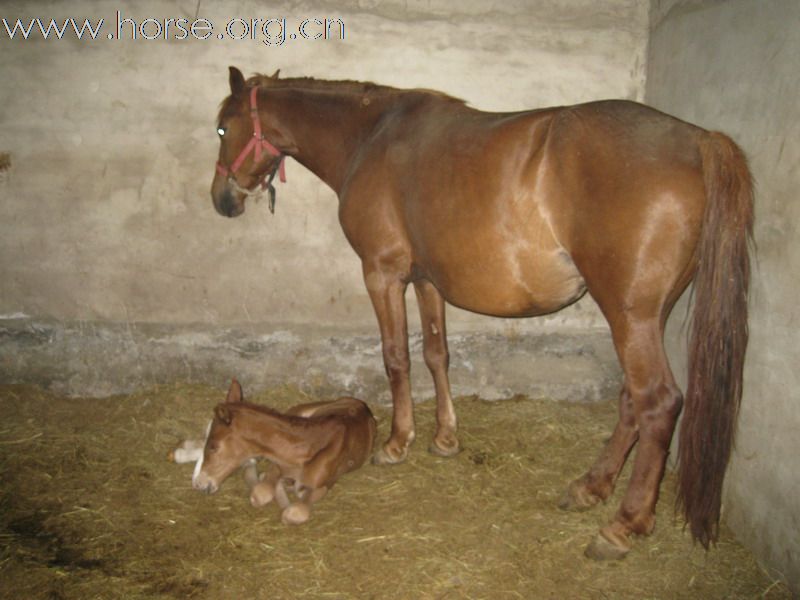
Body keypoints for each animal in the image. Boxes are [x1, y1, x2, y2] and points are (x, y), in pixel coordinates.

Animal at [173, 380, 378, 524]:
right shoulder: (276, 466)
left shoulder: (325, 484)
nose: (197, 483)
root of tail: (356, 401)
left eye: (214, 446)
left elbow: (294, 512)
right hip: (299, 411)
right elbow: (261, 493)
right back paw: (181, 451)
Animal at [209, 67, 752, 556]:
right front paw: (445, 437)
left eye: (222, 128)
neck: (371, 137)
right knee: (631, 402)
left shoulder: (382, 274)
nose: (222, 200)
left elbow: (396, 358)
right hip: (644, 318)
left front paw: (397, 442)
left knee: (656, 402)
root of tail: (699, 141)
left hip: (630, 316)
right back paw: (591, 486)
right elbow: (436, 354)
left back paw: (623, 523)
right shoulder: (426, 280)